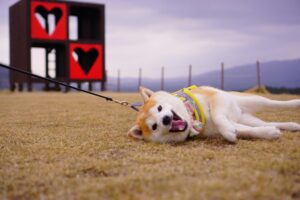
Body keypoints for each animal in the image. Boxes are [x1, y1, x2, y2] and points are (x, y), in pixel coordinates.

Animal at [127, 85, 300, 143]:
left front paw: (228, 133)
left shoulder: (217, 98)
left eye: (159, 108)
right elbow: (247, 131)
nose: (166, 119)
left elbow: (217, 116)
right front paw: (269, 134)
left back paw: (295, 103)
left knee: (272, 103)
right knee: (264, 123)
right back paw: (291, 126)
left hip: (250, 99)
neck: (192, 117)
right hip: (246, 117)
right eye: (154, 126)